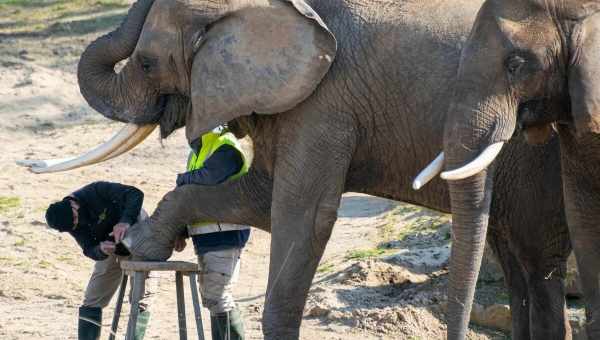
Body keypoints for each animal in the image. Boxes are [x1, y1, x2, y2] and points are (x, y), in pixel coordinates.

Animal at [19, 0, 572, 338]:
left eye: (149, 63)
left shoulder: (327, 100)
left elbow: (301, 214)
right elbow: (256, 197)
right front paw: (146, 244)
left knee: (539, 261)